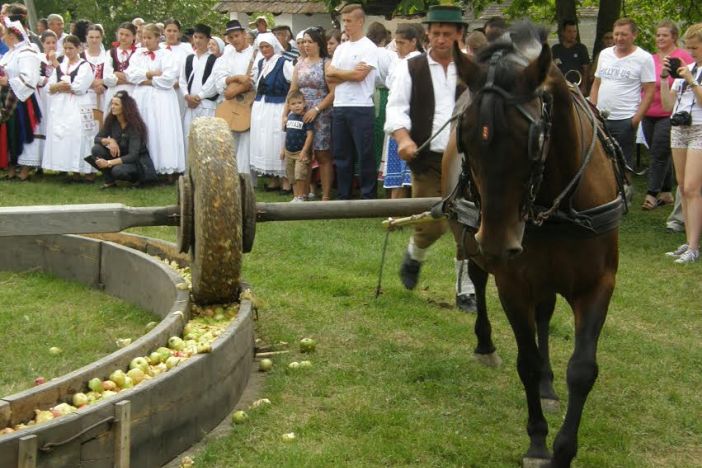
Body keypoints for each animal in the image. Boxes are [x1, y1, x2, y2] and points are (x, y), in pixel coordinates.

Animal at [442, 24, 628, 464]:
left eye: (531, 139)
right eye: (465, 136)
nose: (498, 241)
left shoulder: (599, 283)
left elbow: (582, 369)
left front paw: (564, 448)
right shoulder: (513, 283)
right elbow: (524, 360)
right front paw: (539, 442)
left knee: (544, 314)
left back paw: (547, 383)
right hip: (474, 241)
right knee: (478, 278)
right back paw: (486, 344)